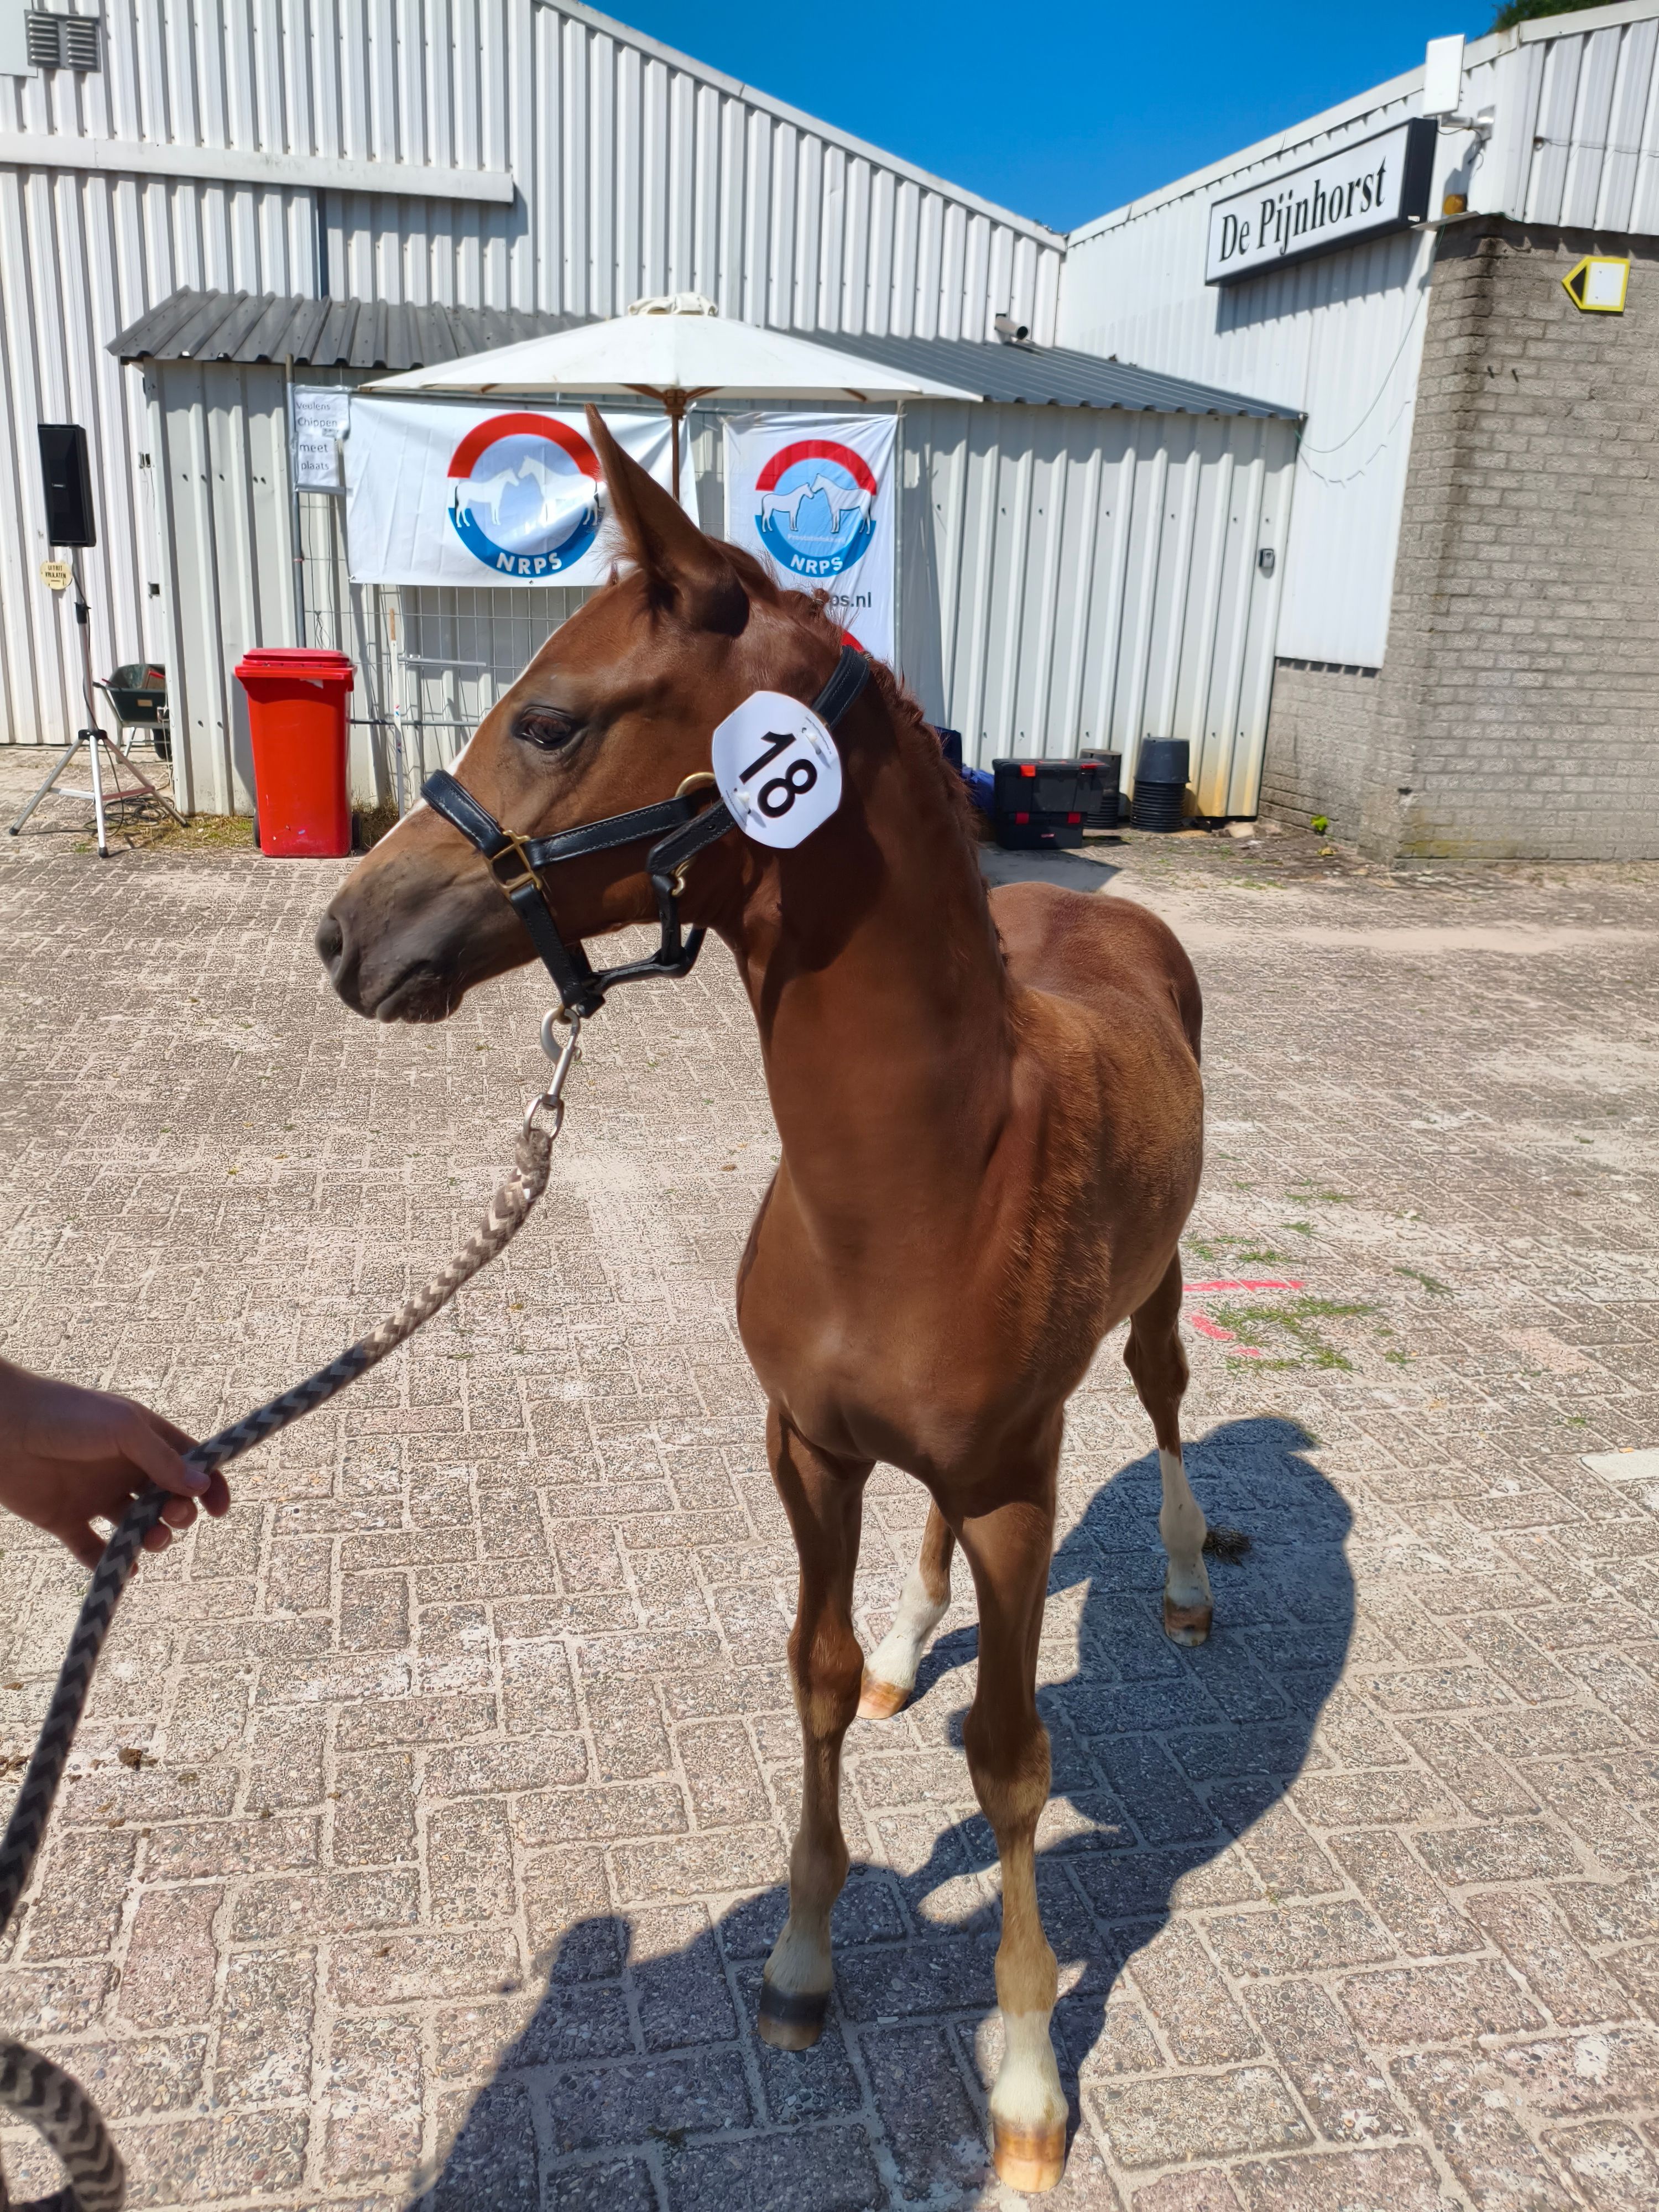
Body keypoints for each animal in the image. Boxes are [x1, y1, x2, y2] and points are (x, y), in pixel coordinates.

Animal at [316, 410, 1208, 2195]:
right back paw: (915, 1642)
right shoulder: (808, 1445)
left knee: (1165, 1403)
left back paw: (1184, 1577)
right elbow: (810, 1671)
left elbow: (1013, 1759)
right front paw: (799, 1961)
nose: (342, 932)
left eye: (551, 718)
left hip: (1143, 1311)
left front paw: (1023, 2078)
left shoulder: (1019, 1484)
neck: (925, 1176)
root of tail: (1109, 902)